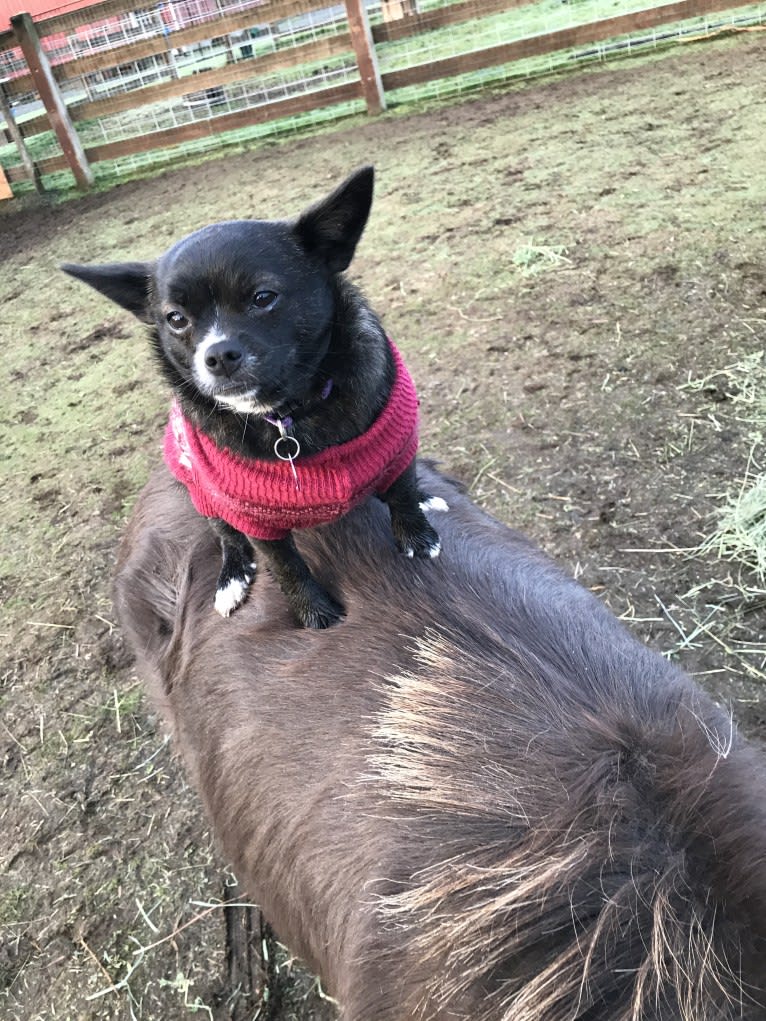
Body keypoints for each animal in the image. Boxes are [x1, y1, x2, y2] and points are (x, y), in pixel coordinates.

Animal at [66, 165, 449, 628]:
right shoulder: (255, 518)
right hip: (204, 497)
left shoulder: (398, 442)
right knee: (226, 537)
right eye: (175, 319)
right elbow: (286, 566)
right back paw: (232, 577)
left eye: (263, 297)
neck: (287, 415)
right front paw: (313, 612)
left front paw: (417, 533)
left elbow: (403, 488)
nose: (217, 355)